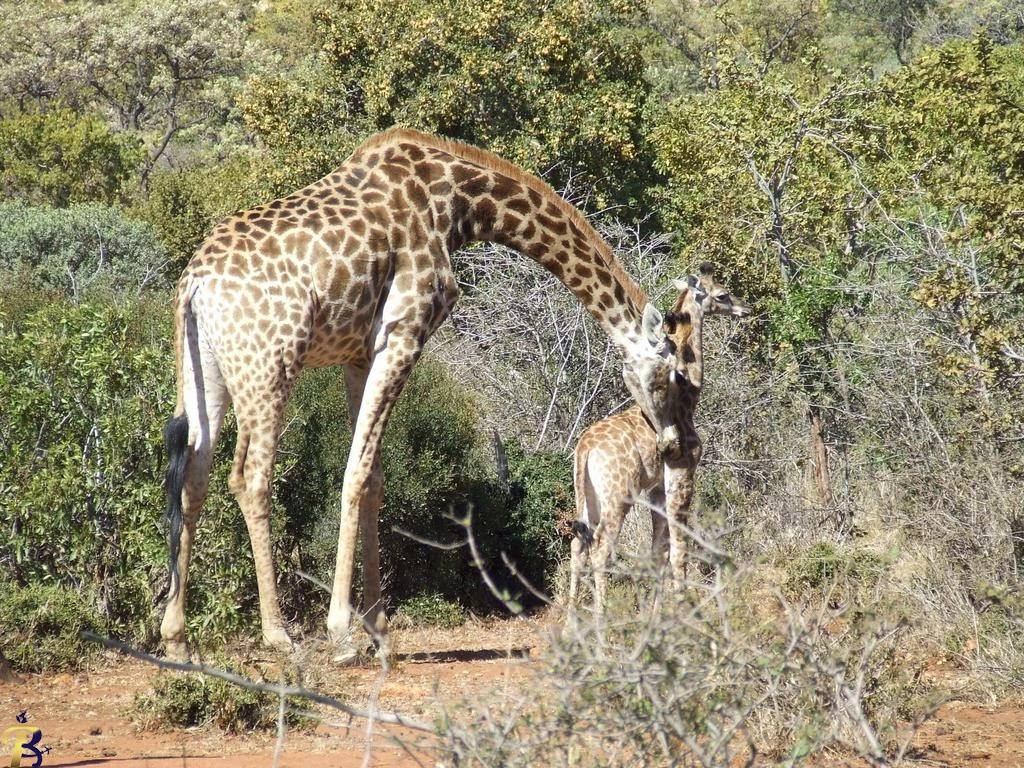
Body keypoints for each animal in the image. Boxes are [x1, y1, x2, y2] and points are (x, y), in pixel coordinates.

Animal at [161, 126, 688, 663]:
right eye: (669, 377)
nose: (670, 444)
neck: (460, 203)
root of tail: (193, 285)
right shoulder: (405, 330)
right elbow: (355, 472)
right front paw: (342, 632)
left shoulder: (358, 353)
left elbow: (373, 476)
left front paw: (379, 630)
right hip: (270, 365)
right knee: (250, 477)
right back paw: (278, 634)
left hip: (208, 371)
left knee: (193, 475)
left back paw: (176, 637)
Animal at [565, 264, 749, 618]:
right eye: (722, 294)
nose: (744, 309)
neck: (688, 397)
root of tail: (585, 449)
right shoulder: (682, 470)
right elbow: (675, 547)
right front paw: (677, 611)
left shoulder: (655, 489)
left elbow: (658, 550)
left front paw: (653, 614)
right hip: (617, 496)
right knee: (601, 547)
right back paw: (601, 621)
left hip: (586, 496)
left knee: (578, 544)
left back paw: (572, 622)